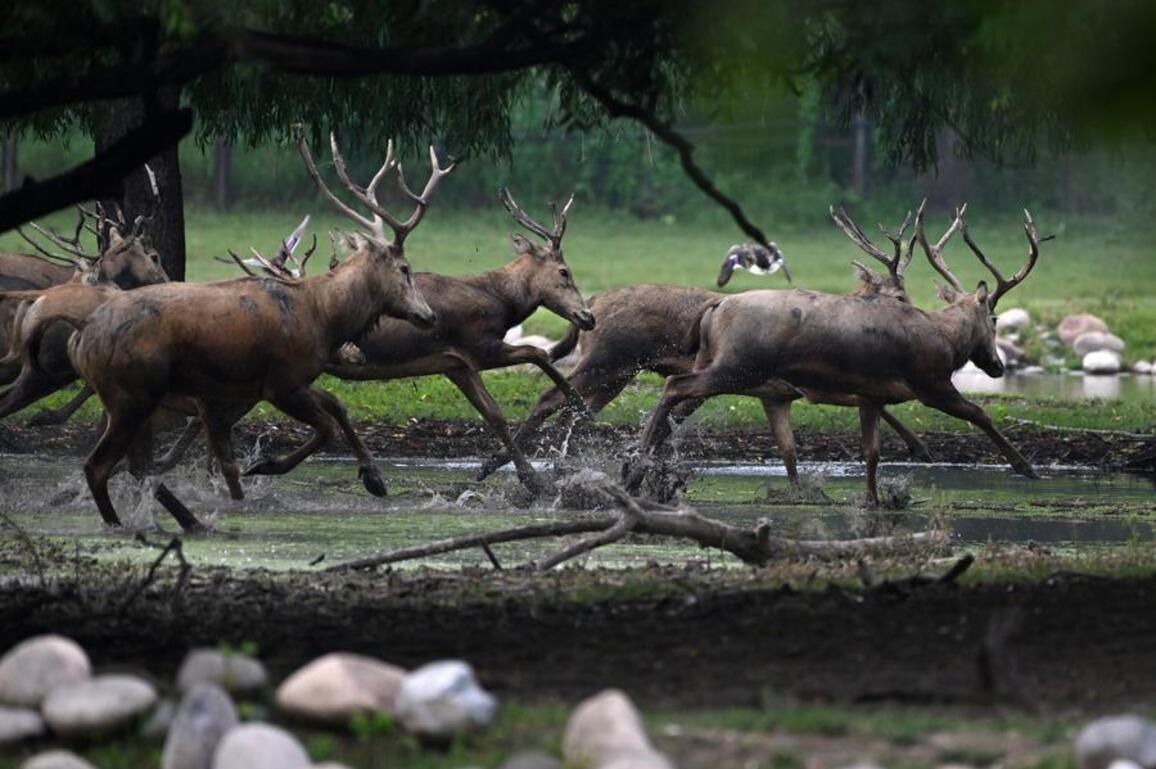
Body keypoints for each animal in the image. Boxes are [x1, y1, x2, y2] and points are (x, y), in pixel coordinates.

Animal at [66, 131, 447, 526]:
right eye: (405, 268)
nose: (429, 315)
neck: (324, 317)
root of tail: (79, 341)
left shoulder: (285, 381)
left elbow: (337, 405)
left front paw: (374, 477)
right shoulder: (282, 381)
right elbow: (323, 426)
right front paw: (265, 465)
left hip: (136, 399)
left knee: (136, 465)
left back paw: (188, 519)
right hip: (130, 394)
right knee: (100, 465)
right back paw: (128, 522)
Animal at [323, 185, 595, 496]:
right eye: (564, 271)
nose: (588, 316)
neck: (503, 304)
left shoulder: (454, 363)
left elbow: (494, 413)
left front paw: (512, 474)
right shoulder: (479, 346)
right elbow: (538, 352)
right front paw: (579, 403)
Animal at [476, 209, 933, 485]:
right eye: (898, 295)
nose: (919, 320)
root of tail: (592, 305)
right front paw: (920, 447)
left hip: (616, 373)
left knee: (572, 406)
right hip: (606, 361)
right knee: (552, 397)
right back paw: (505, 464)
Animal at [625, 201, 1047, 505]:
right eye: (994, 318)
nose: (998, 366)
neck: (947, 341)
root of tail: (715, 308)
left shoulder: (872, 396)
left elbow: (872, 452)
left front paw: (873, 499)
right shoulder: (930, 382)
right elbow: (979, 413)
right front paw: (1025, 467)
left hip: (721, 364)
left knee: (678, 399)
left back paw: (635, 470)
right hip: (738, 364)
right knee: (675, 386)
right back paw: (636, 469)